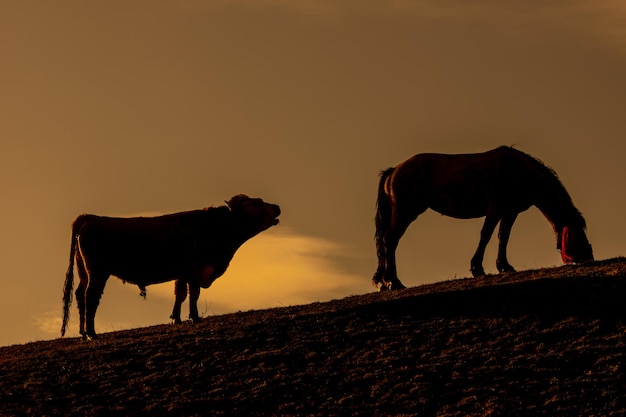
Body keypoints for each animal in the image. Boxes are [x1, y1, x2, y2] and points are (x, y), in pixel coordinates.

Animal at [61, 194, 280, 338]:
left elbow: (180, 294)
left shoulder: (182, 273)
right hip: (98, 272)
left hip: (84, 272)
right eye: (250, 203)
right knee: (91, 297)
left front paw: (176, 318)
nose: (276, 207)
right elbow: (193, 294)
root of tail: (90, 217)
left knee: (80, 295)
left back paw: (83, 332)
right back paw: (92, 333)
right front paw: (194, 317)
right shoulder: (194, 271)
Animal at [372, 145, 592, 290]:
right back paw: (393, 282)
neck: (518, 171)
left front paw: (504, 266)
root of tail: (393, 171)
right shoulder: (495, 209)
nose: (588, 256)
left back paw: (384, 281)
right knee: (390, 241)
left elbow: (503, 237)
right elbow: (486, 235)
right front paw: (477, 268)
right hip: (405, 213)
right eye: (578, 232)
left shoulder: (510, 211)